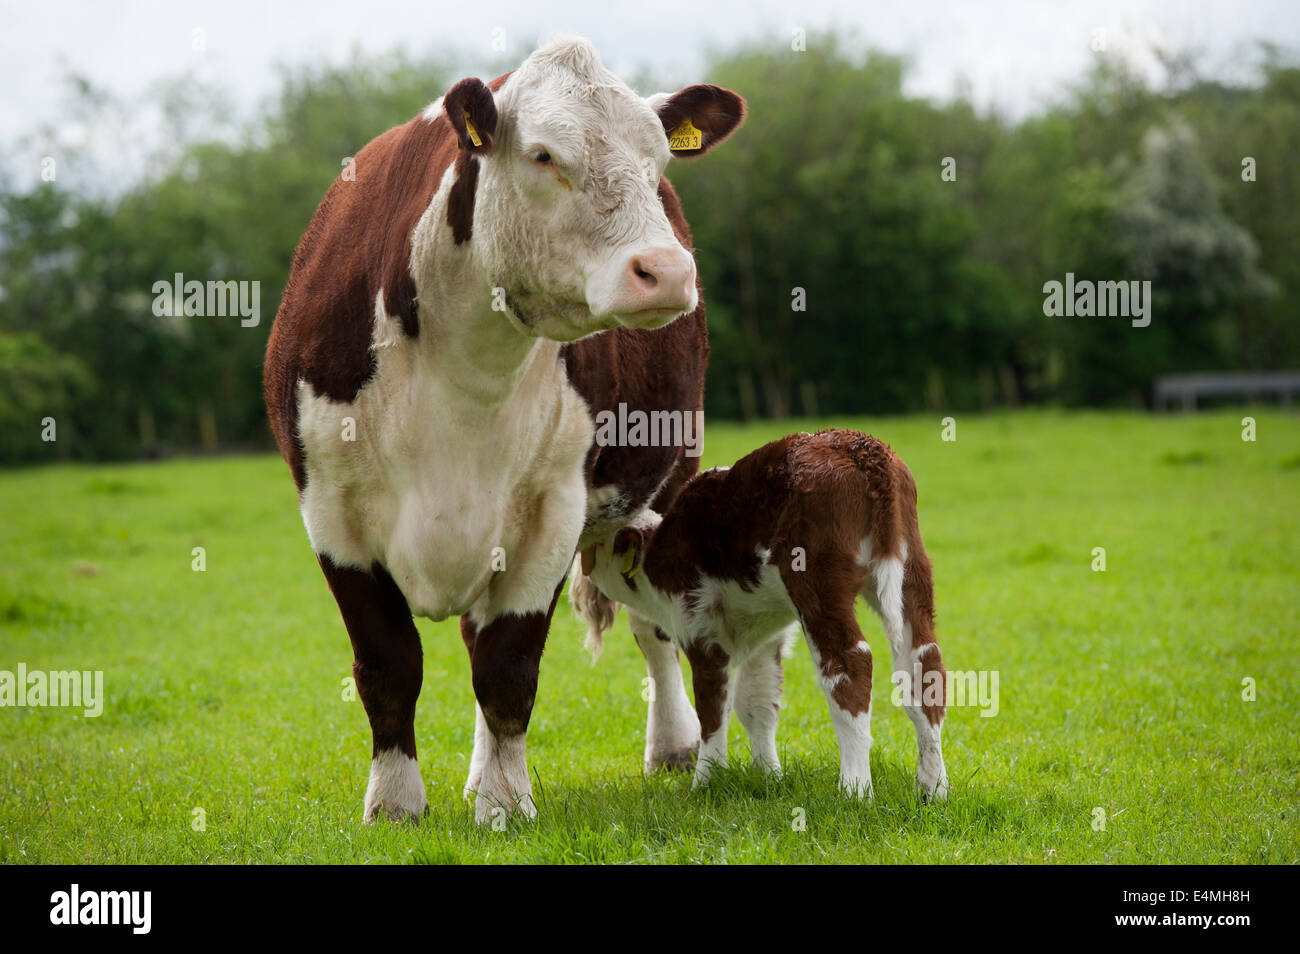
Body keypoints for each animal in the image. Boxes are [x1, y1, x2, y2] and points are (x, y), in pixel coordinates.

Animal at [263, 37, 748, 826]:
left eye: (658, 162)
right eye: (543, 155)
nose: (666, 270)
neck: (465, 371)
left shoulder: (554, 509)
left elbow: (508, 666)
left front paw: (504, 804)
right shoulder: (329, 508)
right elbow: (388, 662)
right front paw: (396, 804)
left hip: (665, 485)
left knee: (653, 627)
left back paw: (671, 745)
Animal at [574, 428, 951, 805]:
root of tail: (860, 447)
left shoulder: (697, 623)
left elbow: (713, 707)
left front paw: (706, 782)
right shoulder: (768, 634)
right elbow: (755, 702)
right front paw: (769, 777)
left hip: (819, 585)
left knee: (849, 665)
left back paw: (854, 791)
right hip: (912, 571)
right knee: (923, 663)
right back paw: (933, 787)